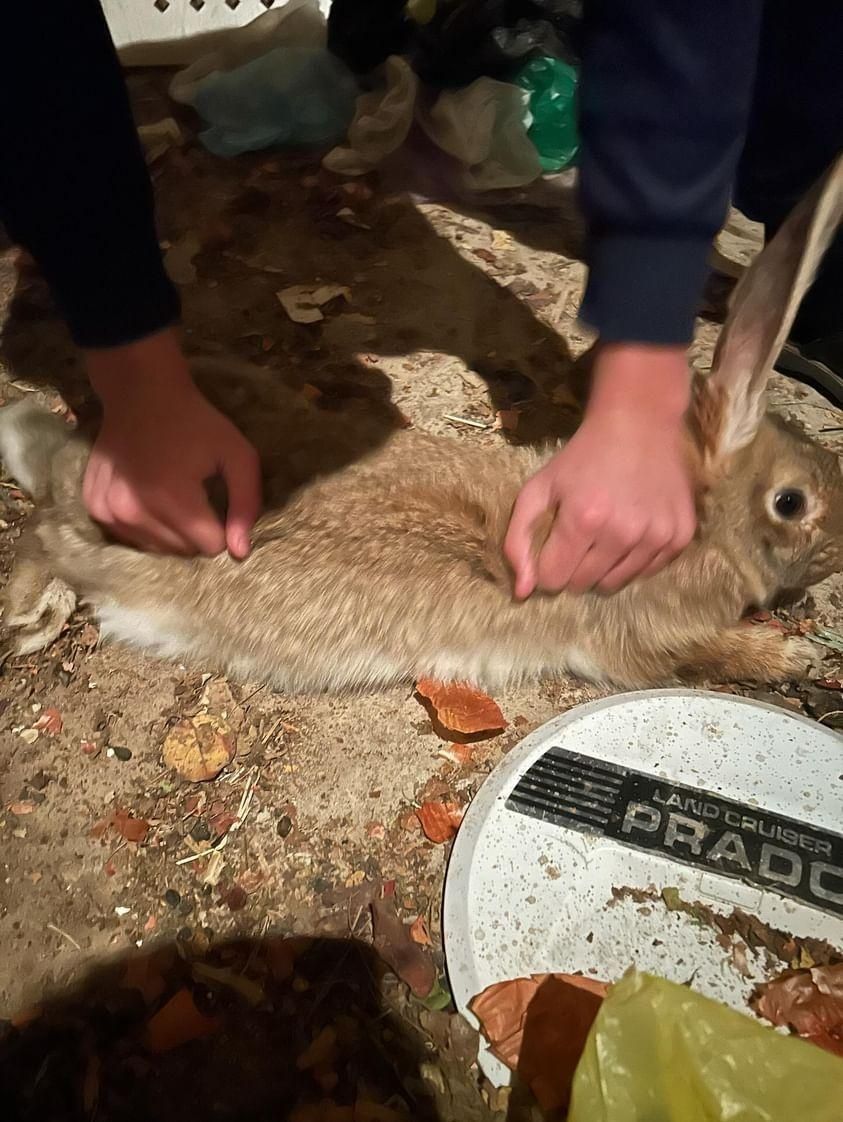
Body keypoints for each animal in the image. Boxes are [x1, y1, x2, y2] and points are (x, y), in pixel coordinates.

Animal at [1, 152, 843, 686]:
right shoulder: (638, 634)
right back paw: (28, 613)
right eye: (790, 502)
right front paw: (789, 662)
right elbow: (697, 656)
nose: (834, 559)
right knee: (40, 536)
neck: (702, 521)